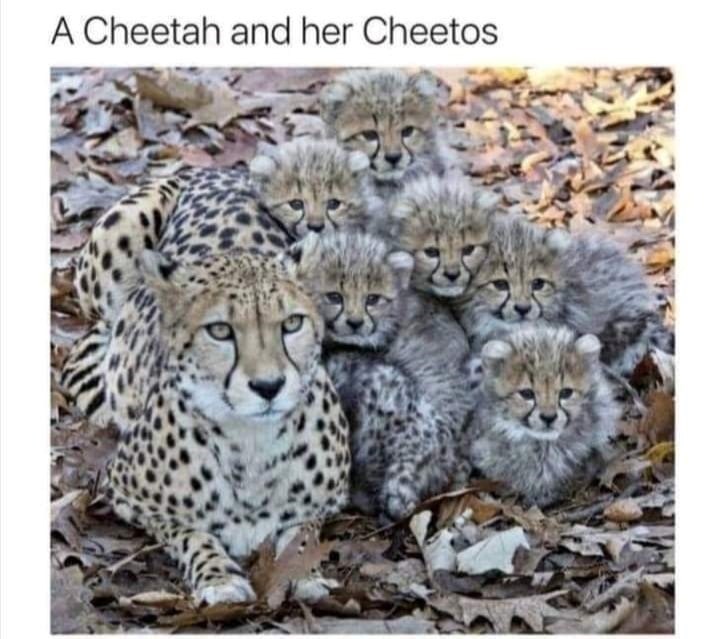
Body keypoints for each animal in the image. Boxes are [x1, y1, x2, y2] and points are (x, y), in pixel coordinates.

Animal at [99, 249, 350, 605]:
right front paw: (219, 578)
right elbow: (192, 532)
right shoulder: (127, 495)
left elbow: (302, 536)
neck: (252, 442)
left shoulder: (326, 502)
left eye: (292, 323)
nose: (269, 386)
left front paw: (303, 572)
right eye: (219, 330)